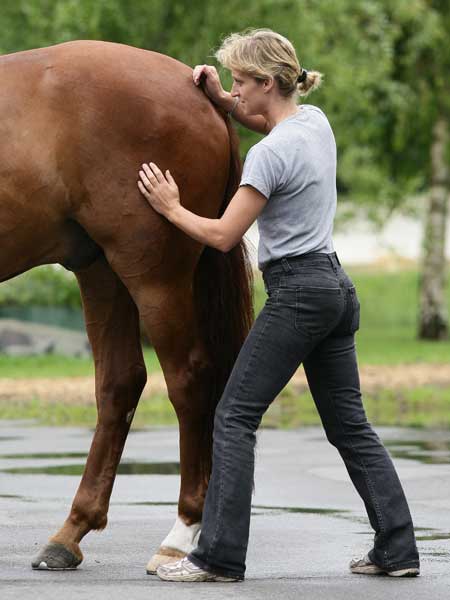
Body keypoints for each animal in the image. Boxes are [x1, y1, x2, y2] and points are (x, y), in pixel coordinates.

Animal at [0, 41, 253, 572]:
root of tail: (197, 91)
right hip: (100, 270)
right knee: (120, 383)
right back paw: (70, 532)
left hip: (153, 276)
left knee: (187, 379)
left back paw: (181, 531)